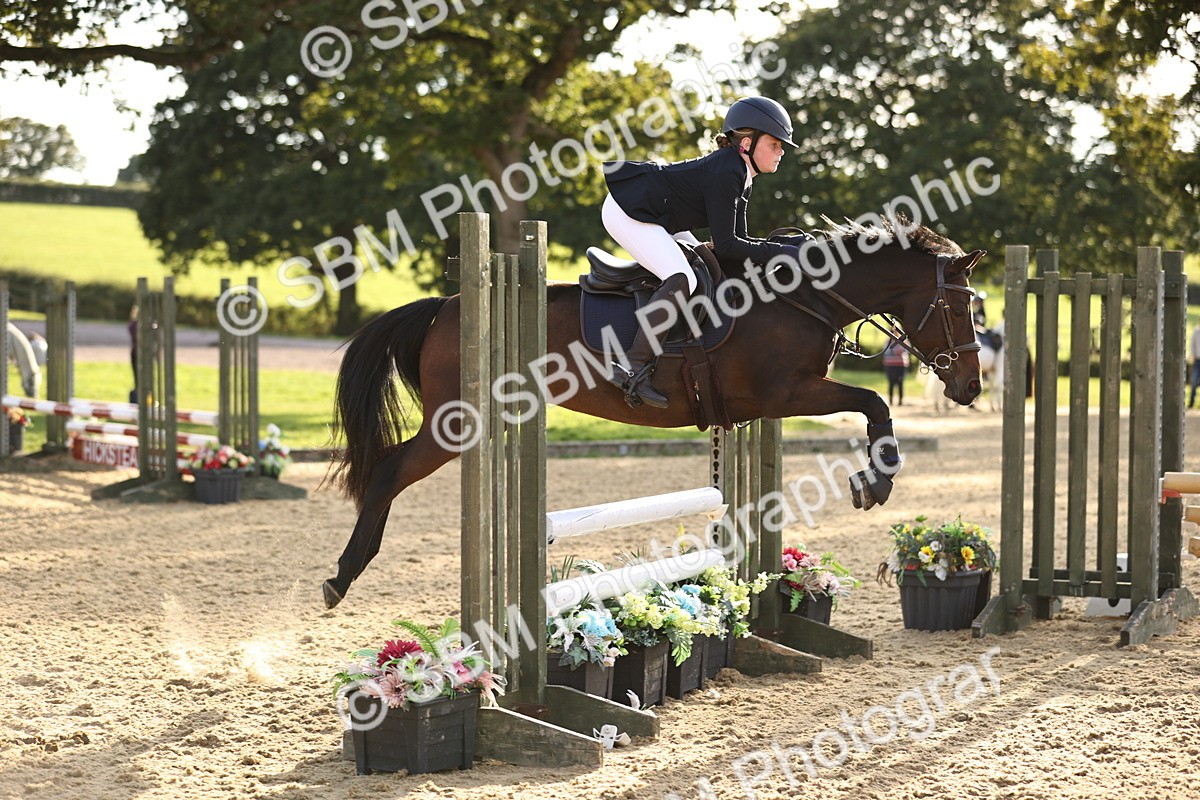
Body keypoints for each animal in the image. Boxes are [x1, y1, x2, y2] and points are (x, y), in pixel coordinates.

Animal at [321, 219, 985, 607]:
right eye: (959, 310)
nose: (971, 388)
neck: (803, 295)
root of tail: (442, 307)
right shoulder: (786, 393)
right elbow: (874, 403)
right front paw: (875, 482)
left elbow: (869, 407)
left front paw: (873, 479)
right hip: (456, 422)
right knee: (387, 471)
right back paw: (343, 574)